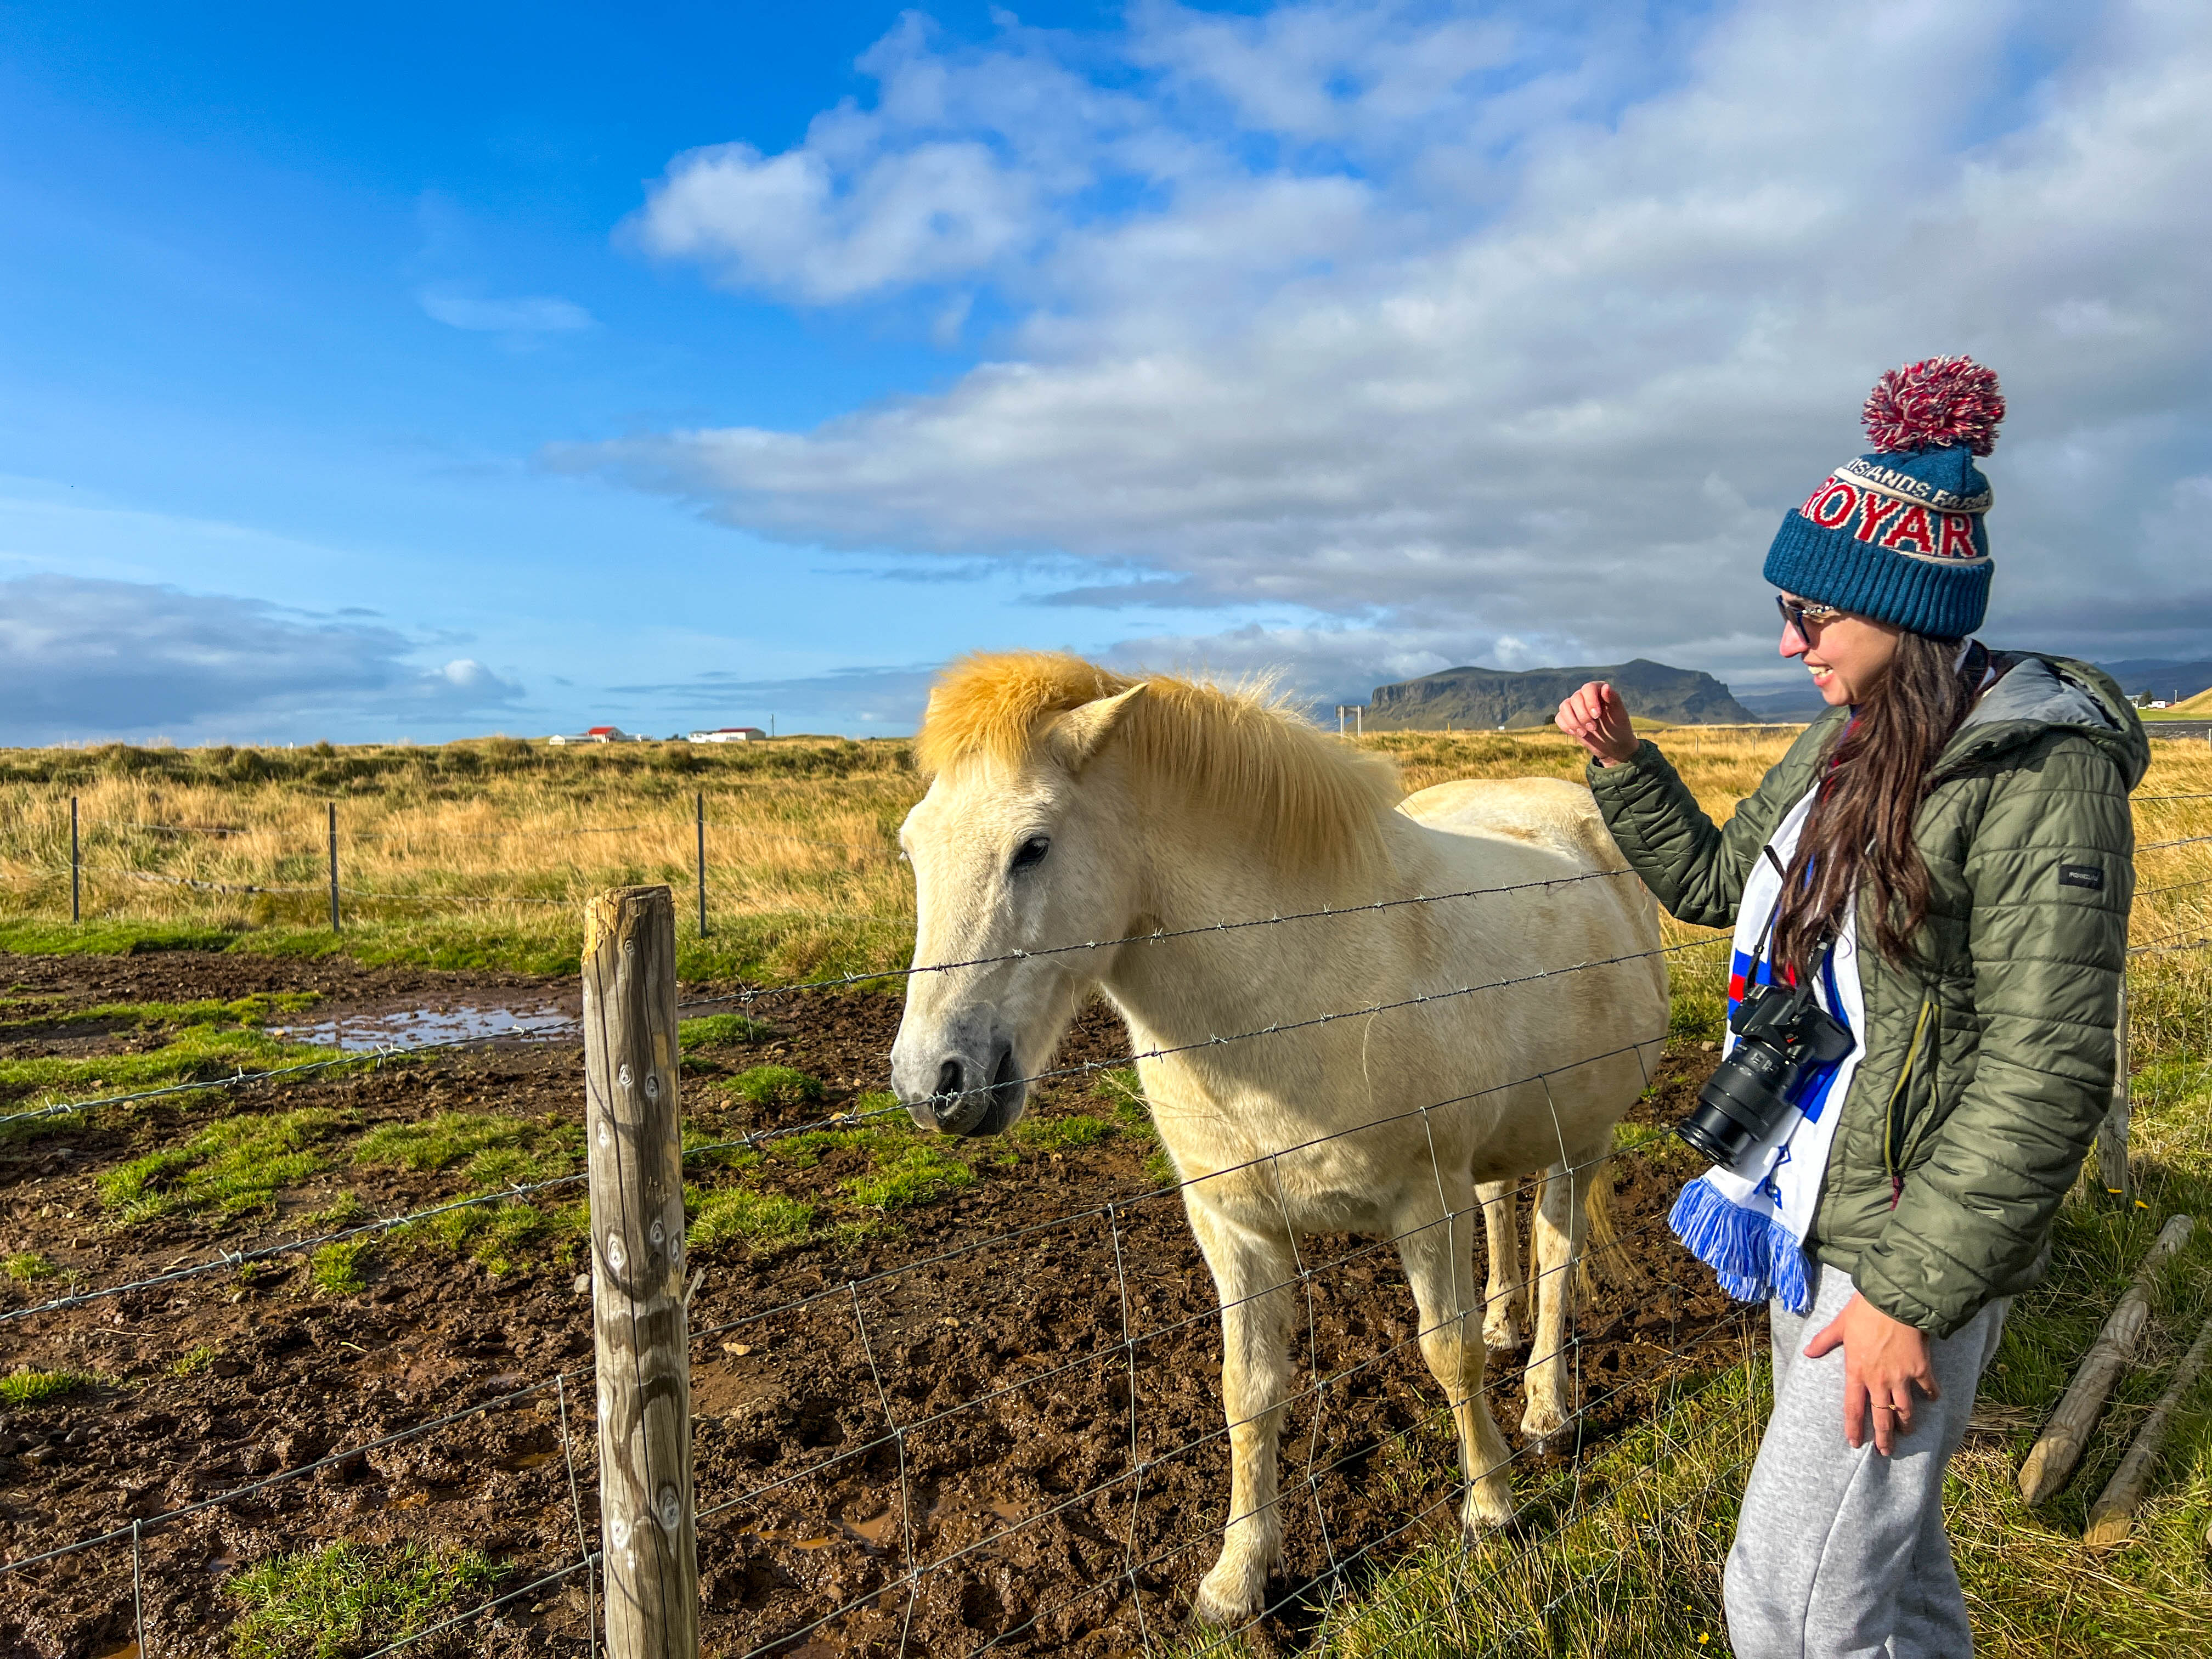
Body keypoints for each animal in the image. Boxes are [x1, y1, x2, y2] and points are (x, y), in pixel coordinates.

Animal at [880, 654, 1663, 1628]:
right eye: (912, 849)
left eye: (1033, 847)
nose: (933, 1083)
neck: (1293, 985)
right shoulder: (1234, 1226)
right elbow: (1247, 1396)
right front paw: (1235, 1579)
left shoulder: (1424, 1201)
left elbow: (1448, 1356)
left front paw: (1492, 1507)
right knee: (1501, 1210)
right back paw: (1506, 1321)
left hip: (1579, 1138)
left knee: (1560, 1254)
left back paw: (1549, 1409)